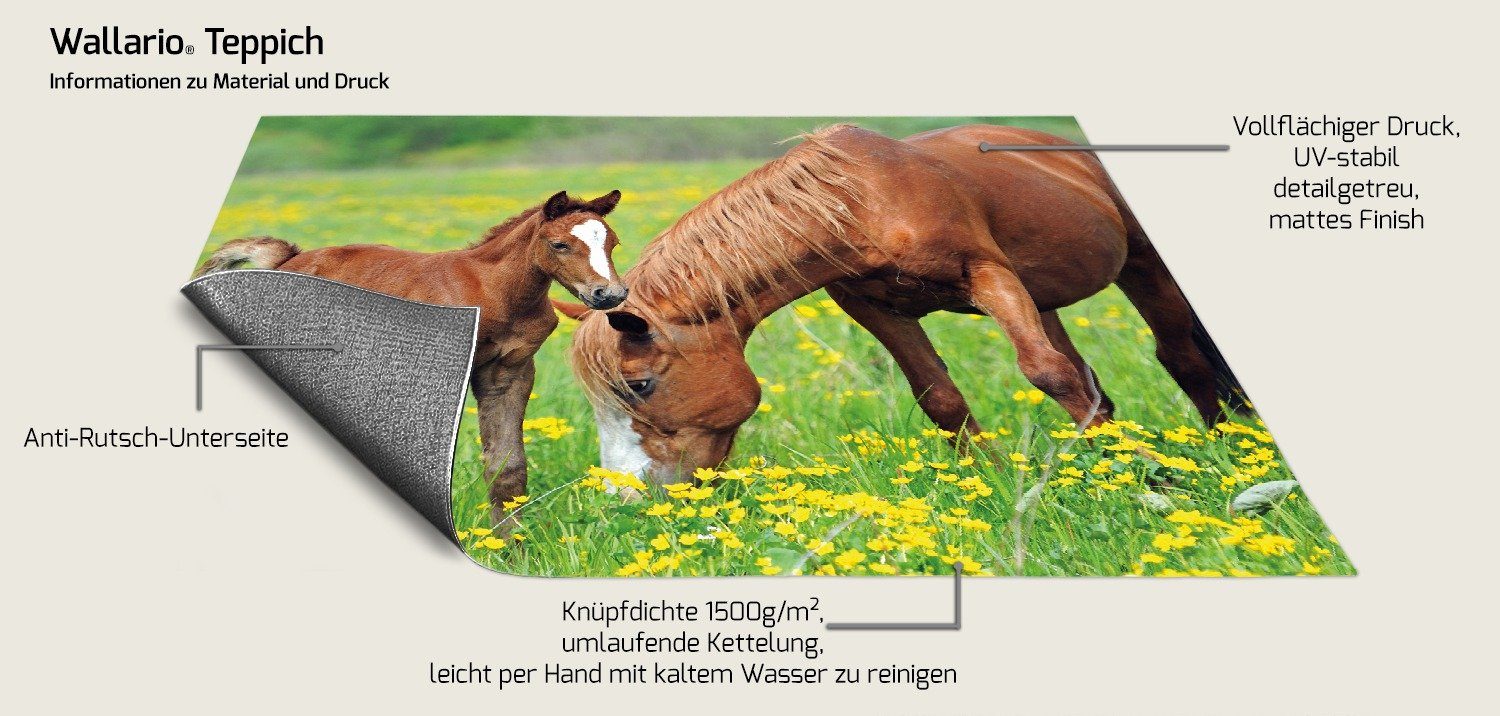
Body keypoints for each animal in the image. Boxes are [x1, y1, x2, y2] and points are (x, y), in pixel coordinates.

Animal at [195, 190, 629, 526]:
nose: (609, 294)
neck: (493, 291)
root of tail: (287, 261)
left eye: (612, 242)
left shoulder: (509, 374)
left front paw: (512, 548)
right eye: (560, 244)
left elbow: (506, 470)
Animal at [561, 125, 1243, 485]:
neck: (860, 200)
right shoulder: (876, 310)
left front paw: (1149, 473)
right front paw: (992, 479)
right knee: (1092, 383)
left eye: (640, 385)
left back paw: (1225, 443)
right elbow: (941, 398)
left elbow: (1043, 373)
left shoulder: (986, 274)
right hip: (1044, 298)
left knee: (1180, 356)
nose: (626, 495)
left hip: (1144, 265)